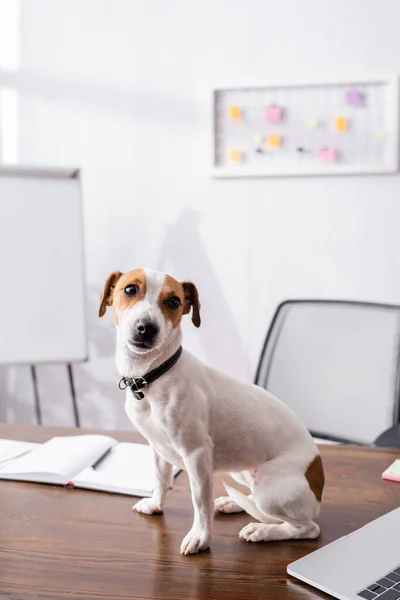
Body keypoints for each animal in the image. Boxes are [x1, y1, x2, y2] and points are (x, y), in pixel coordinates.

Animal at [98, 270, 324, 556]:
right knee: (257, 504)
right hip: (244, 472)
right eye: (130, 289)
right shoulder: (157, 447)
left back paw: (263, 530)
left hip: (272, 490)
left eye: (174, 301)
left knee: (306, 528)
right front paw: (155, 504)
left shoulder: (197, 454)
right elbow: (160, 479)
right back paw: (234, 503)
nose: (146, 328)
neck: (152, 376)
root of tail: (318, 483)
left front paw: (200, 537)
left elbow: (200, 501)